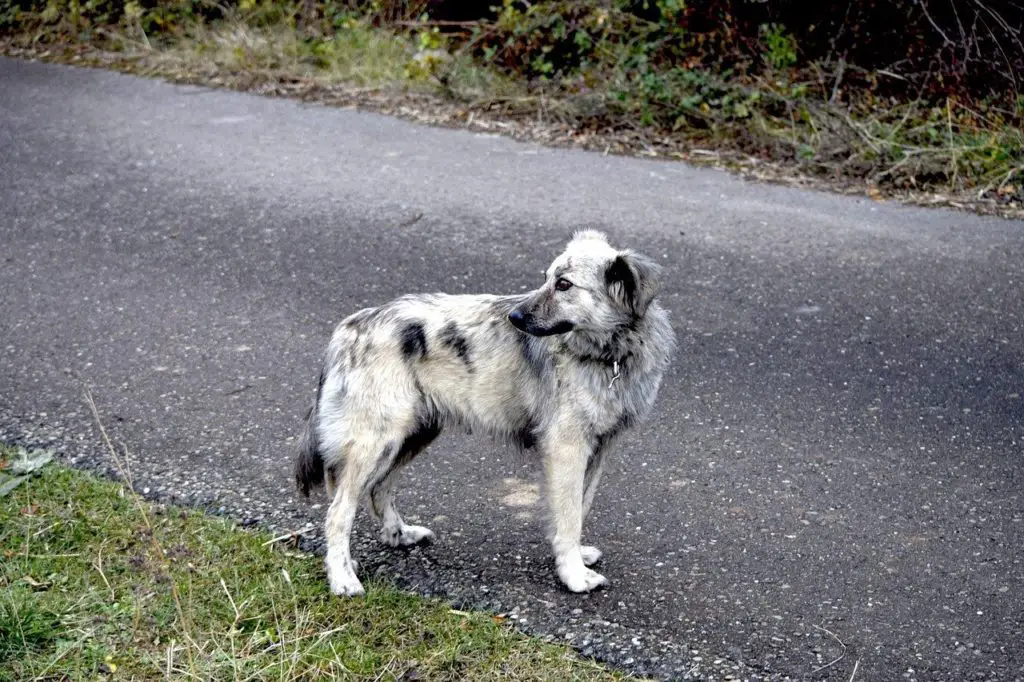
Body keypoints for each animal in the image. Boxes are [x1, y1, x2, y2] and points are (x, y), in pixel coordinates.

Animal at [296, 231, 675, 593]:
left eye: (564, 284)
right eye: (548, 279)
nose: (514, 317)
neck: (613, 352)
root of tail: (349, 328)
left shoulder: (599, 448)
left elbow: (580, 507)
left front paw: (575, 558)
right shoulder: (567, 448)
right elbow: (568, 516)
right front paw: (574, 575)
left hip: (411, 436)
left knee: (378, 488)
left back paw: (397, 536)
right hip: (377, 441)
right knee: (338, 512)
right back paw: (342, 578)